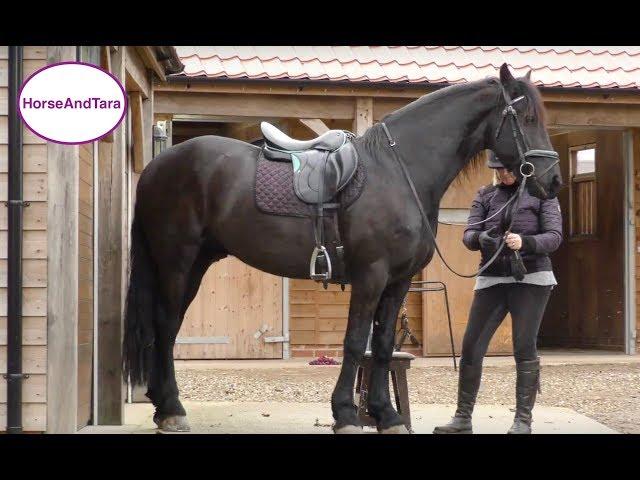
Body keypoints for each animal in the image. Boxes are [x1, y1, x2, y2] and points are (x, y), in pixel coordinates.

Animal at [122, 62, 564, 434]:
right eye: (526, 118)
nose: (553, 180)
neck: (399, 172)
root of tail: (158, 166)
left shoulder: (399, 281)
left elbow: (382, 345)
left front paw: (386, 415)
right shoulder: (371, 276)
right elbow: (354, 342)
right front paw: (347, 414)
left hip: (197, 262)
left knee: (169, 326)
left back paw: (162, 404)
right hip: (176, 261)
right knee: (165, 324)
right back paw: (173, 409)